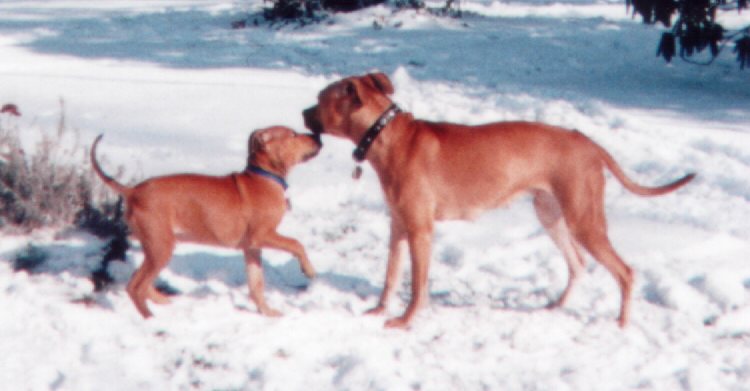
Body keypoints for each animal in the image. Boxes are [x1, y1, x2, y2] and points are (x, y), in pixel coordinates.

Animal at [90, 127, 320, 320]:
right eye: (293, 135)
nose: (317, 135)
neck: (265, 177)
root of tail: (133, 191)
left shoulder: (252, 247)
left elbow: (257, 284)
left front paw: (267, 312)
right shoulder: (262, 235)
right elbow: (296, 243)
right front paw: (308, 269)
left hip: (155, 246)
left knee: (141, 282)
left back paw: (162, 302)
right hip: (160, 246)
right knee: (135, 286)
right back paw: (151, 320)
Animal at [306, 72, 700, 330]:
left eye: (320, 99)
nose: (302, 114)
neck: (386, 136)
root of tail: (587, 142)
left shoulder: (420, 231)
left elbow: (417, 285)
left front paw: (404, 320)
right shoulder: (398, 227)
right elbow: (390, 276)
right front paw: (378, 310)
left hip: (583, 220)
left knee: (625, 272)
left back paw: (620, 323)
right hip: (551, 215)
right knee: (578, 264)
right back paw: (557, 306)